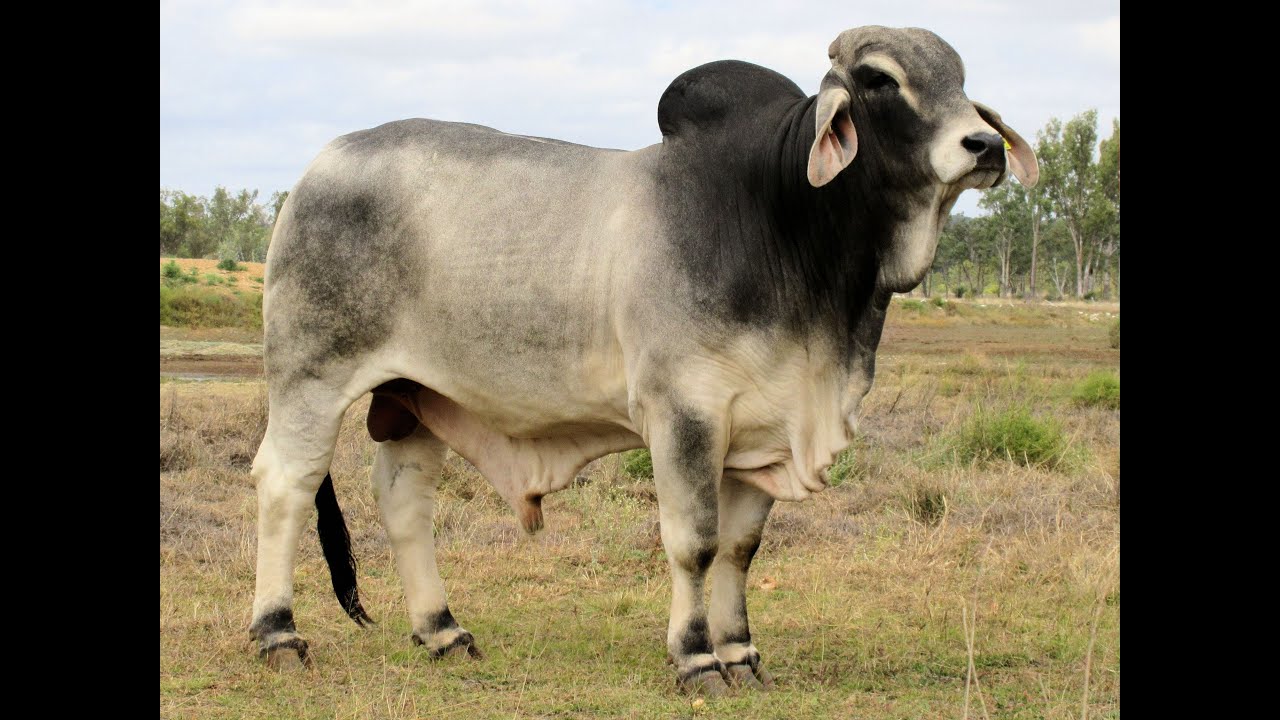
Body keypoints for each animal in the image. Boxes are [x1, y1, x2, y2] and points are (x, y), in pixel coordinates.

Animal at [248, 25, 1037, 696]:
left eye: (960, 78)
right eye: (879, 80)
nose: (981, 145)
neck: (782, 222)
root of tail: (318, 166)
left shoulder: (762, 430)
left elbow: (740, 550)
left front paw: (741, 654)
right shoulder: (685, 413)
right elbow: (694, 543)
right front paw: (696, 658)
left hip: (414, 395)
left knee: (404, 500)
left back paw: (442, 631)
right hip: (310, 376)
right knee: (286, 484)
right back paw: (278, 635)